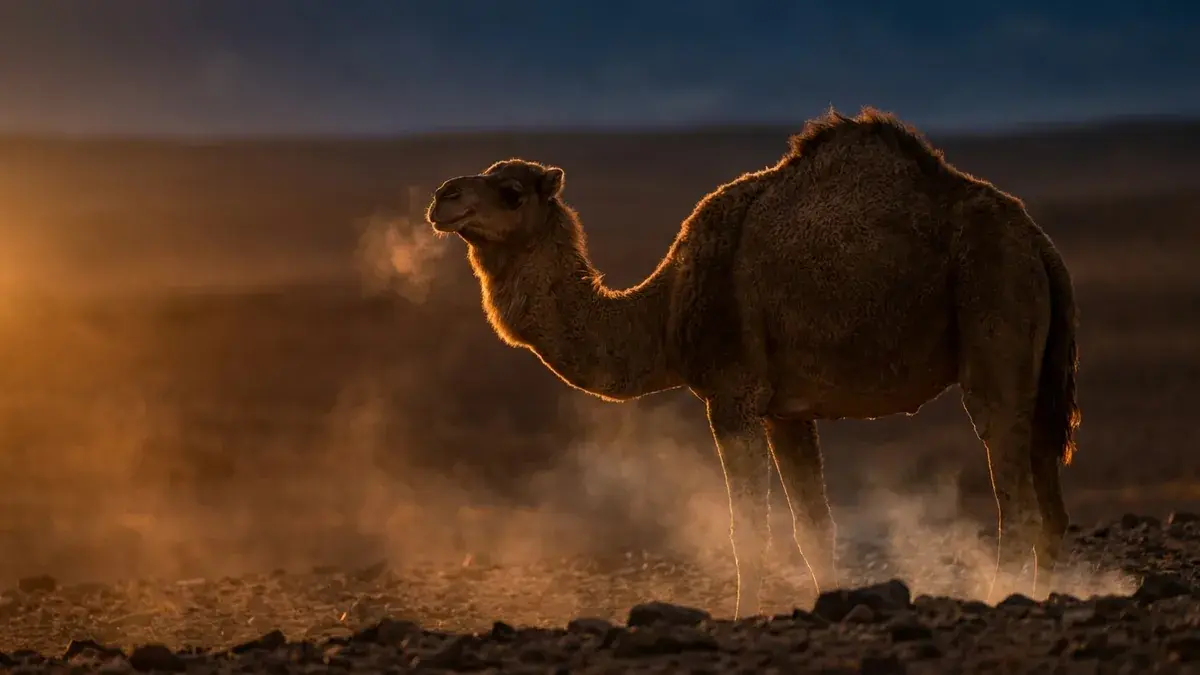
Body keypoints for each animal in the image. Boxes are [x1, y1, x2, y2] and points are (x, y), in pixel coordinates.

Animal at [425, 107, 1080, 619]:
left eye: (511, 192)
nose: (442, 197)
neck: (663, 312)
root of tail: (1038, 242)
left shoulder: (731, 393)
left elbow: (749, 531)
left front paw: (743, 617)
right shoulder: (785, 410)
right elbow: (814, 528)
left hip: (993, 315)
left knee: (1017, 504)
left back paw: (1001, 598)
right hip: (1037, 365)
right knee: (1050, 509)